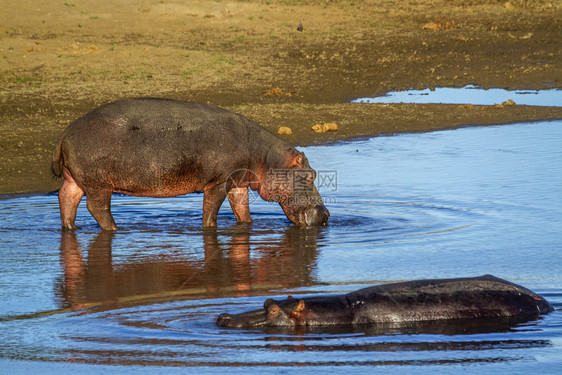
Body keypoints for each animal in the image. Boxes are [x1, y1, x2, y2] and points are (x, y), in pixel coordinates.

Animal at [51, 97, 328, 229]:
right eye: (311, 175)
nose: (326, 214)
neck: (265, 157)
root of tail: (66, 132)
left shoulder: (238, 182)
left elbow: (242, 209)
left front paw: (248, 226)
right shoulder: (219, 182)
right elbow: (211, 210)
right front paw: (211, 228)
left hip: (74, 179)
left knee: (66, 200)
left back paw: (71, 228)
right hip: (98, 185)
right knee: (97, 208)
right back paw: (116, 229)